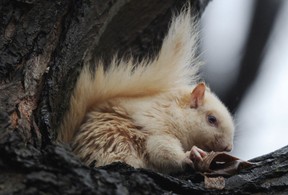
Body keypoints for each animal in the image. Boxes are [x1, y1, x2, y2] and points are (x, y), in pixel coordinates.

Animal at [58, 6, 234, 174]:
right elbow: (160, 149)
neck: (175, 112)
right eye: (212, 119)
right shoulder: (159, 125)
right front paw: (190, 154)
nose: (228, 148)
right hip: (115, 143)